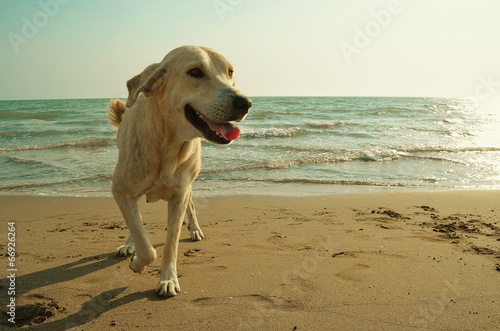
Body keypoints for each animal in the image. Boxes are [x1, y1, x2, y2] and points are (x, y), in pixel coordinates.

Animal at [108, 45, 252, 296]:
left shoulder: (179, 194)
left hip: (189, 183)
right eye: (195, 72)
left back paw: (194, 229)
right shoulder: (120, 190)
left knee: (191, 205)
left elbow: (170, 242)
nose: (244, 102)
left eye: (230, 72)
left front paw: (167, 279)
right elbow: (144, 241)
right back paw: (129, 244)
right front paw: (137, 261)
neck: (168, 146)